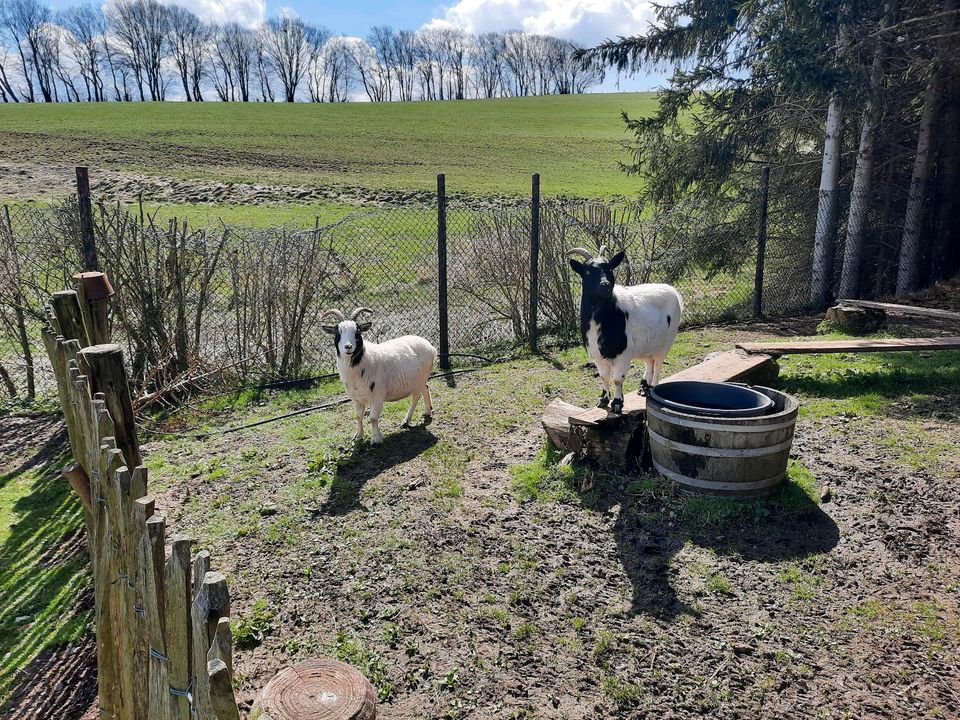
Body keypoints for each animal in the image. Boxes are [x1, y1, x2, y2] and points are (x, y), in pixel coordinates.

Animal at [320, 308, 436, 444]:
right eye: (338, 332)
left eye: (357, 331)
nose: (348, 347)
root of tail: (431, 346)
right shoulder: (356, 398)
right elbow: (358, 416)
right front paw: (358, 436)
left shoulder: (377, 395)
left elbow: (373, 418)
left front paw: (376, 440)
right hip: (420, 380)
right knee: (426, 389)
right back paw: (427, 412)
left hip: (419, 379)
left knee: (416, 397)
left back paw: (406, 421)